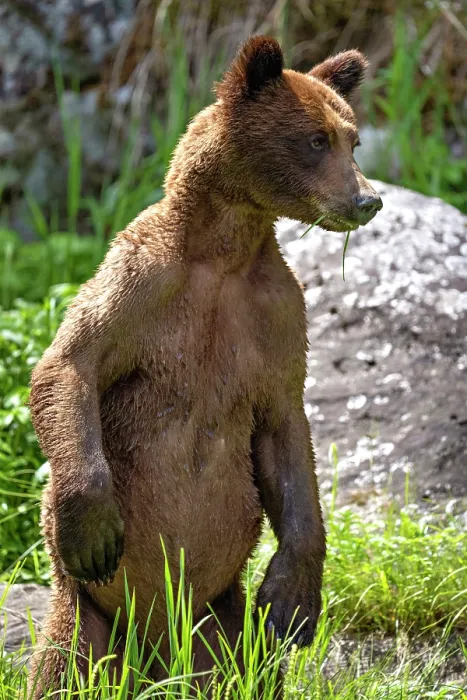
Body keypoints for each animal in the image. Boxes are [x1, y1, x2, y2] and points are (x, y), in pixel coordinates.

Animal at [28, 35, 382, 697]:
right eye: (315, 139)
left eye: (354, 138)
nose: (367, 199)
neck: (224, 251)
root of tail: (153, 649)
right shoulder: (143, 280)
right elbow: (70, 363)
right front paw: (93, 527)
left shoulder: (275, 313)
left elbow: (286, 430)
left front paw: (292, 599)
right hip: (86, 615)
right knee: (65, 666)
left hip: (218, 621)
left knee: (250, 662)